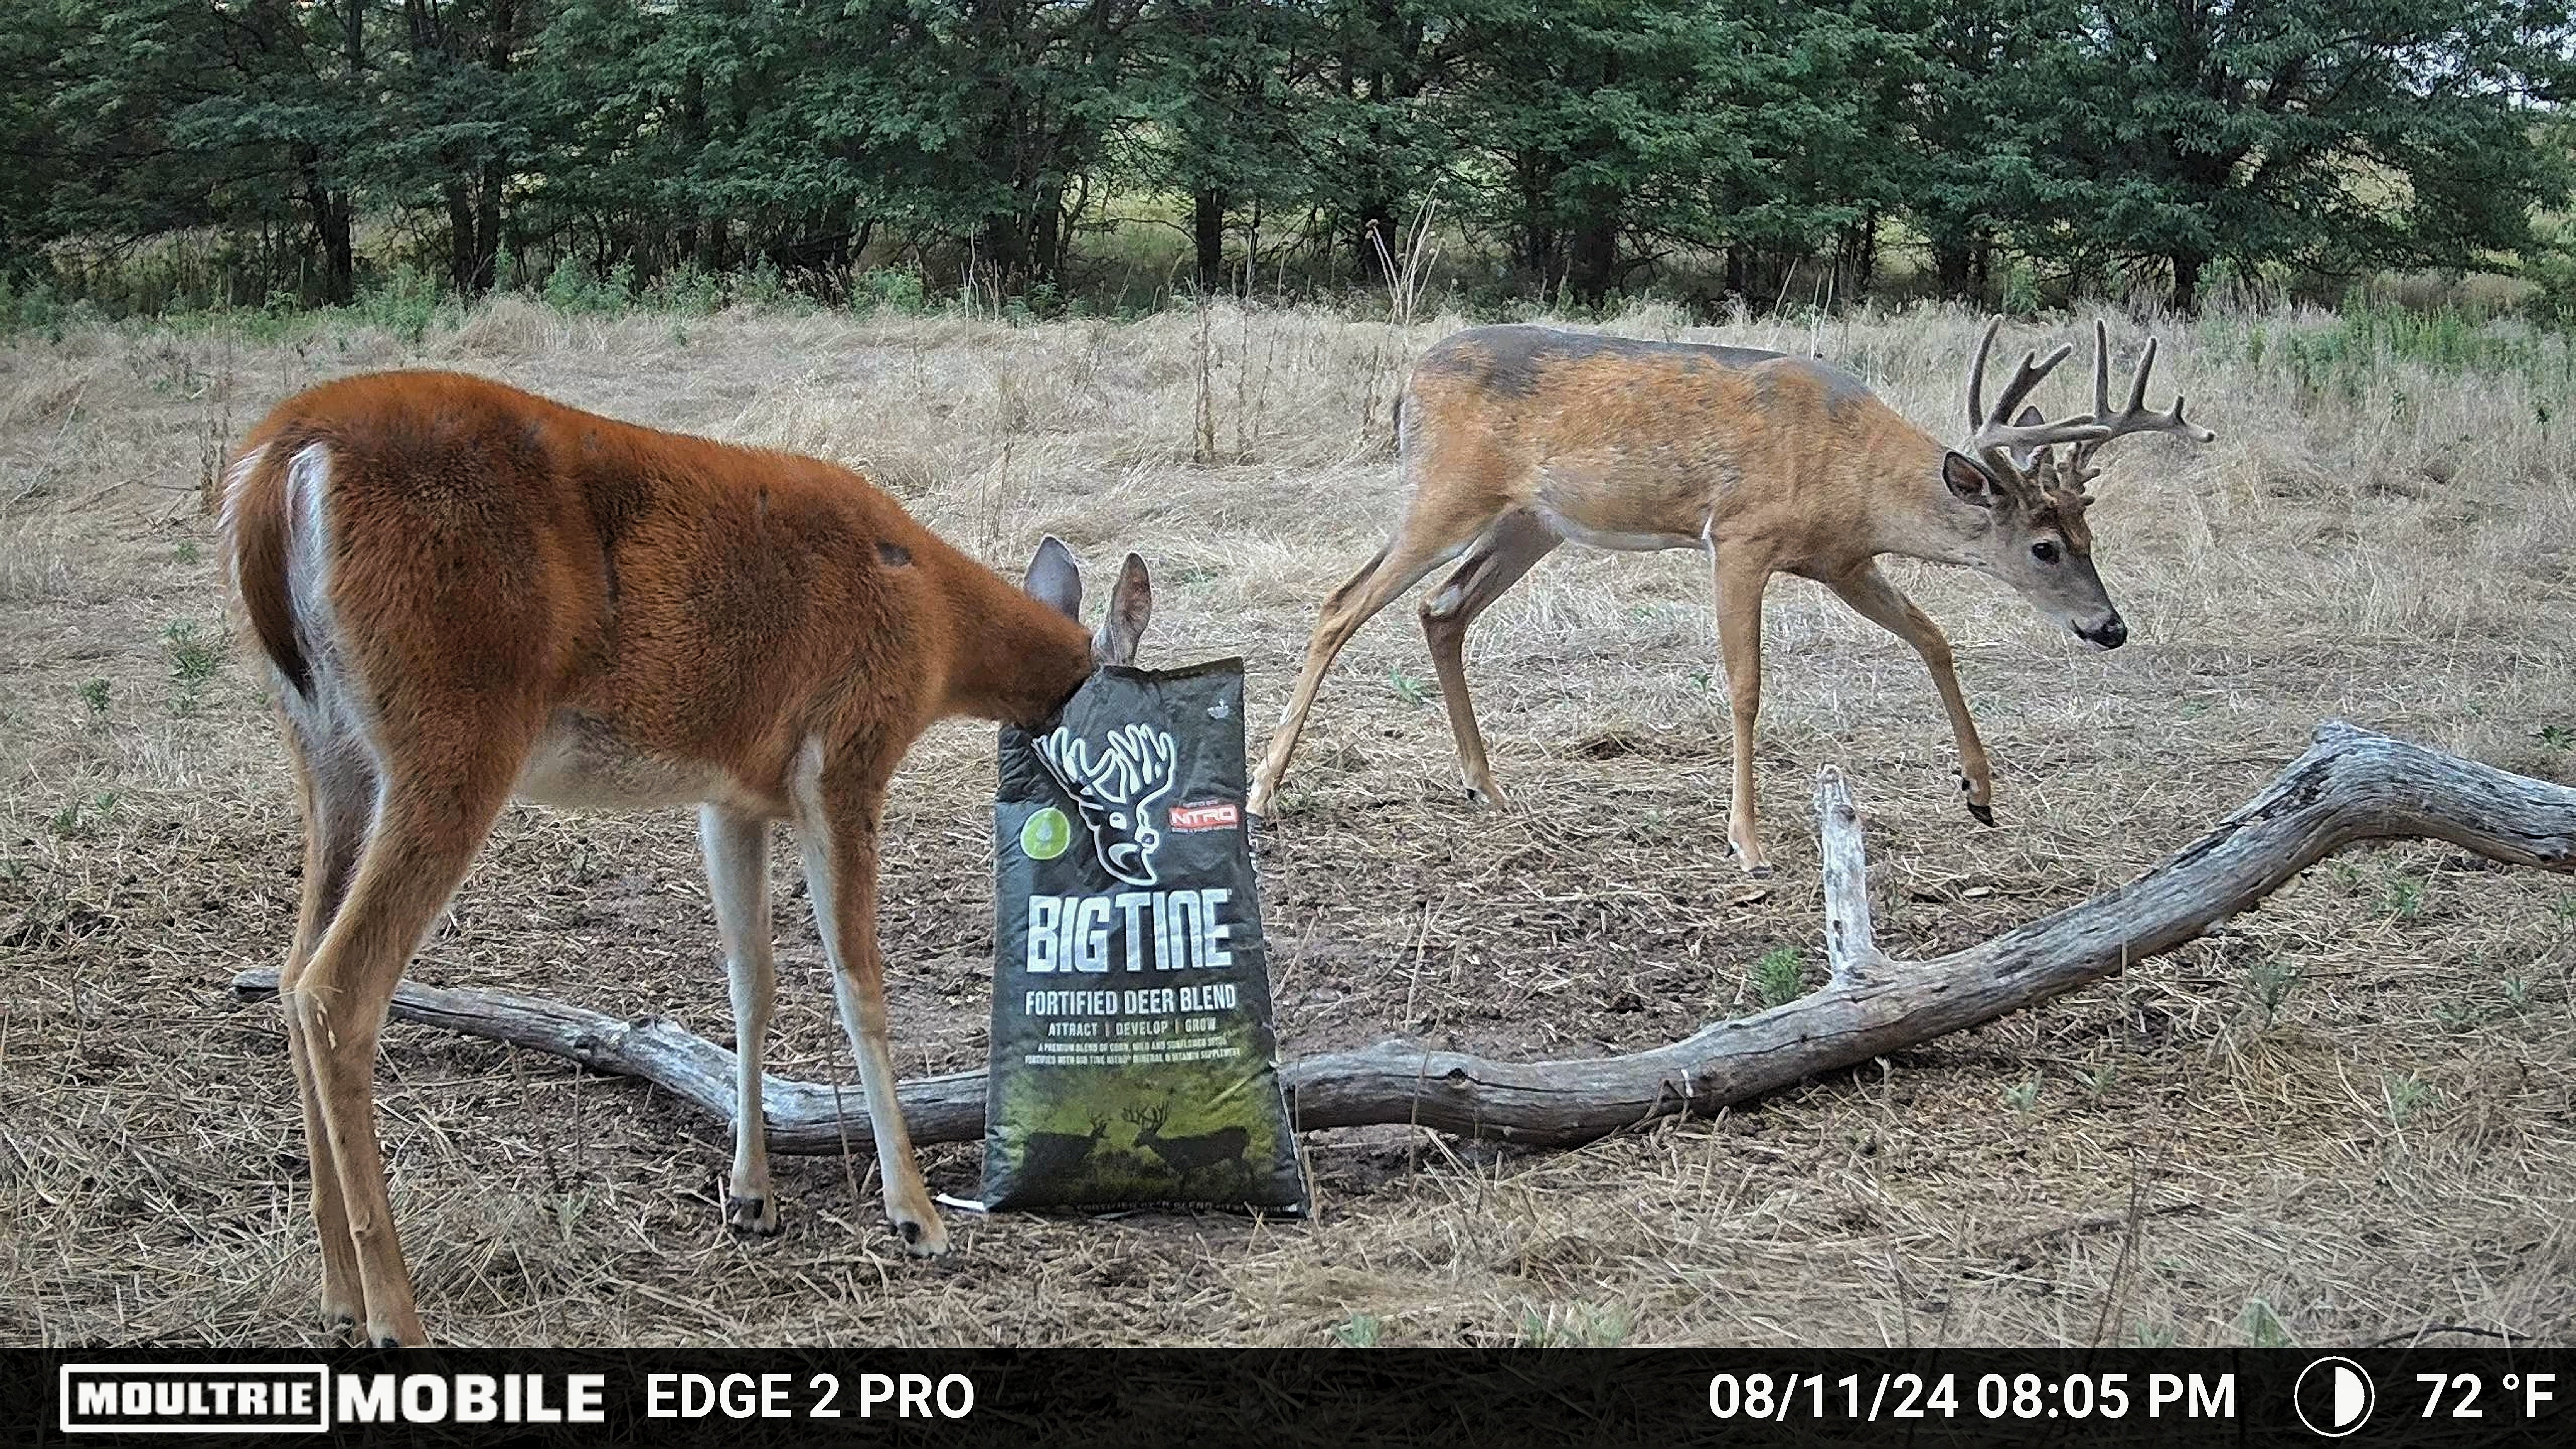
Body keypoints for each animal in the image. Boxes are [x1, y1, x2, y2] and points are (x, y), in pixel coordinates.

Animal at [220, 369, 1152, 1346]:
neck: (934, 621)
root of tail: (281, 463)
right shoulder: (846, 752)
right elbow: (860, 984)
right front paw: (917, 1215)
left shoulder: (732, 794)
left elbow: (752, 982)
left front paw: (753, 1198)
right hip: (454, 724)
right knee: (338, 986)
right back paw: (396, 1315)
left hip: (329, 748)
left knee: (292, 971)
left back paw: (336, 1292)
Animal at [1247, 319, 2214, 874]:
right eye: (2045, 548)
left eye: (2092, 541)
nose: (2110, 627)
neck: (1854, 474)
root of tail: (1410, 378)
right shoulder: (1742, 539)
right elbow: (1746, 687)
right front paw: (1747, 842)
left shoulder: (1842, 561)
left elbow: (1933, 636)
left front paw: (1978, 791)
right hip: (1445, 493)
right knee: (1341, 604)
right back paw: (1264, 794)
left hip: (1532, 522)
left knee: (1440, 611)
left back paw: (1487, 786)